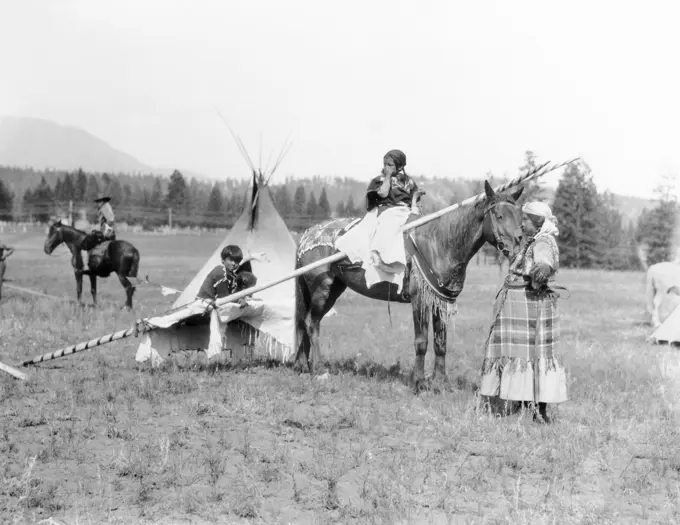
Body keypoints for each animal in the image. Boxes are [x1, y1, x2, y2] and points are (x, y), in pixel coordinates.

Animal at [294, 180, 524, 388]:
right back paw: (319, 369)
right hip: (322, 288)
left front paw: (441, 382)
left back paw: (303, 367)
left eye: (519, 216)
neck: (438, 244)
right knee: (312, 324)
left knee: (304, 322)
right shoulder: (419, 300)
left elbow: (441, 342)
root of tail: (307, 236)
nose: (519, 243)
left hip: (333, 289)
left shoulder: (439, 302)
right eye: (499, 215)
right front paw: (418, 381)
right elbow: (421, 342)